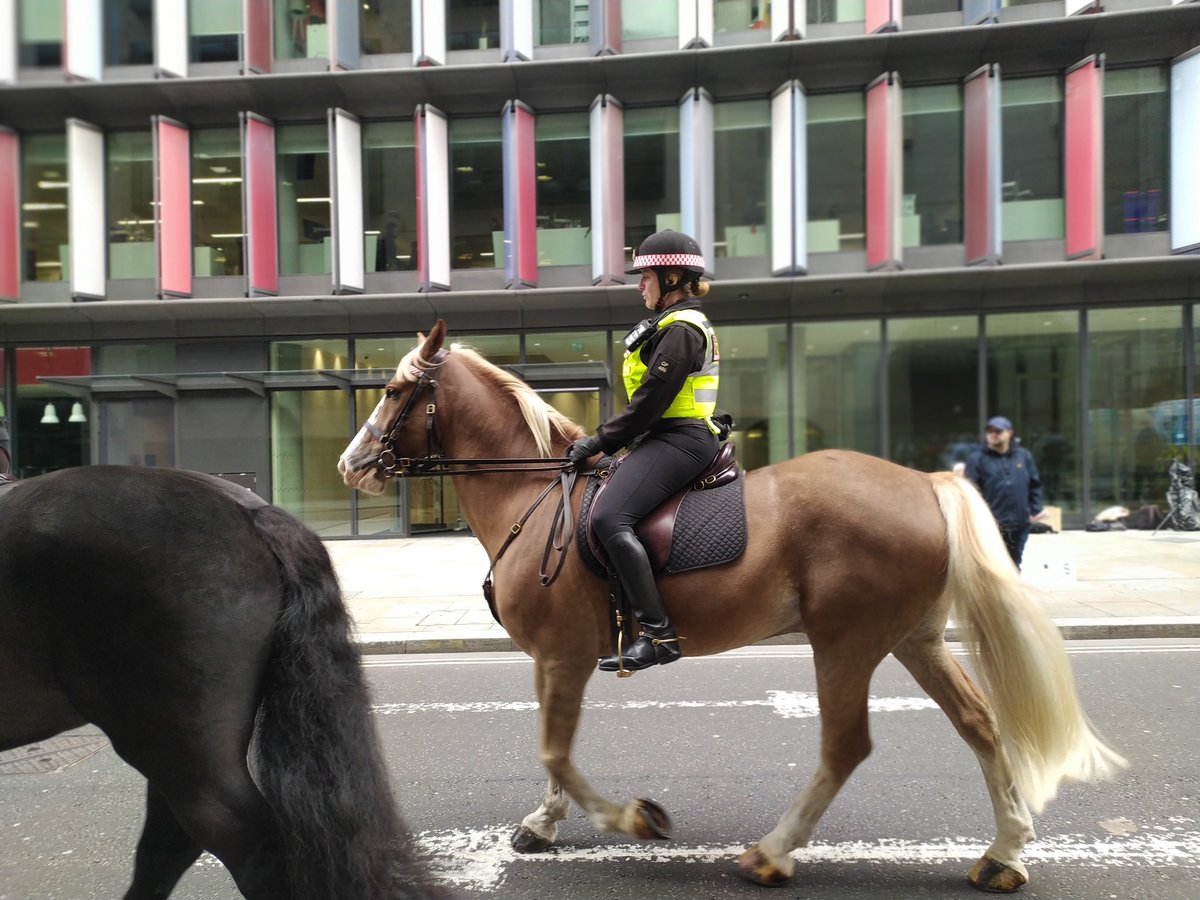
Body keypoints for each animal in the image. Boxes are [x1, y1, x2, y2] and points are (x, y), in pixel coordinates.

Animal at [338, 319, 1123, 897]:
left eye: (392, 389)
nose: (351, 464)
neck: (531, 494)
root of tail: (926, 482)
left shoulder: (563, 655)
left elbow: (556, 749)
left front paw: (635, 819)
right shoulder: (555, 660)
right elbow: (552, 750)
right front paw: (544, 823)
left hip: (846, 642)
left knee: (846, 746)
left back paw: (773, 853)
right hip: (915, 640)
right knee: (980, 725)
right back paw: (1005, 854)